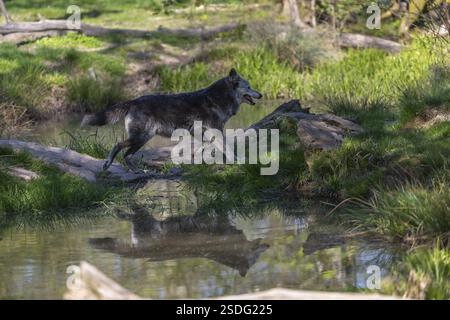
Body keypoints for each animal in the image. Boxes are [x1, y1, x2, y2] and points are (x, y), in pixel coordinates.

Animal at [82, 69, 262, 171]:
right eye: (248, 87)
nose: (260, 95)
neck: (218, 99)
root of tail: (133, 101)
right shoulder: (215, 133)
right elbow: (228, 149)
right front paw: (238, 161)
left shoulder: (203, 136)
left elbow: (204, 150)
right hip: (140, 137)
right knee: (118, 146)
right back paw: (108, 163)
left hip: (143, 139)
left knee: (127, 155)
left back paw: (139, 171)